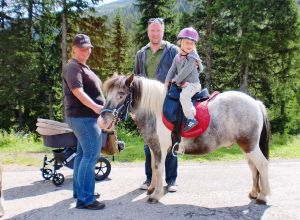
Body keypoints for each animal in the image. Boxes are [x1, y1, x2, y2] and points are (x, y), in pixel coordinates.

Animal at [98, 74, 270, 205]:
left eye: (121, 94)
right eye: (108, 94)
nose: (102, 121)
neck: (156, 111)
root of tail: (255, 103)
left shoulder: (160, 148)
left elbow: (159, 169)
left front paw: (155, 195)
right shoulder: (153, 147)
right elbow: (153, 167)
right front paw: (151, 189)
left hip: (250, 146)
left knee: (262, 165)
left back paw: (262, 196)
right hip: (247, 147)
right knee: (253, 167)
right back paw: (254, 193)